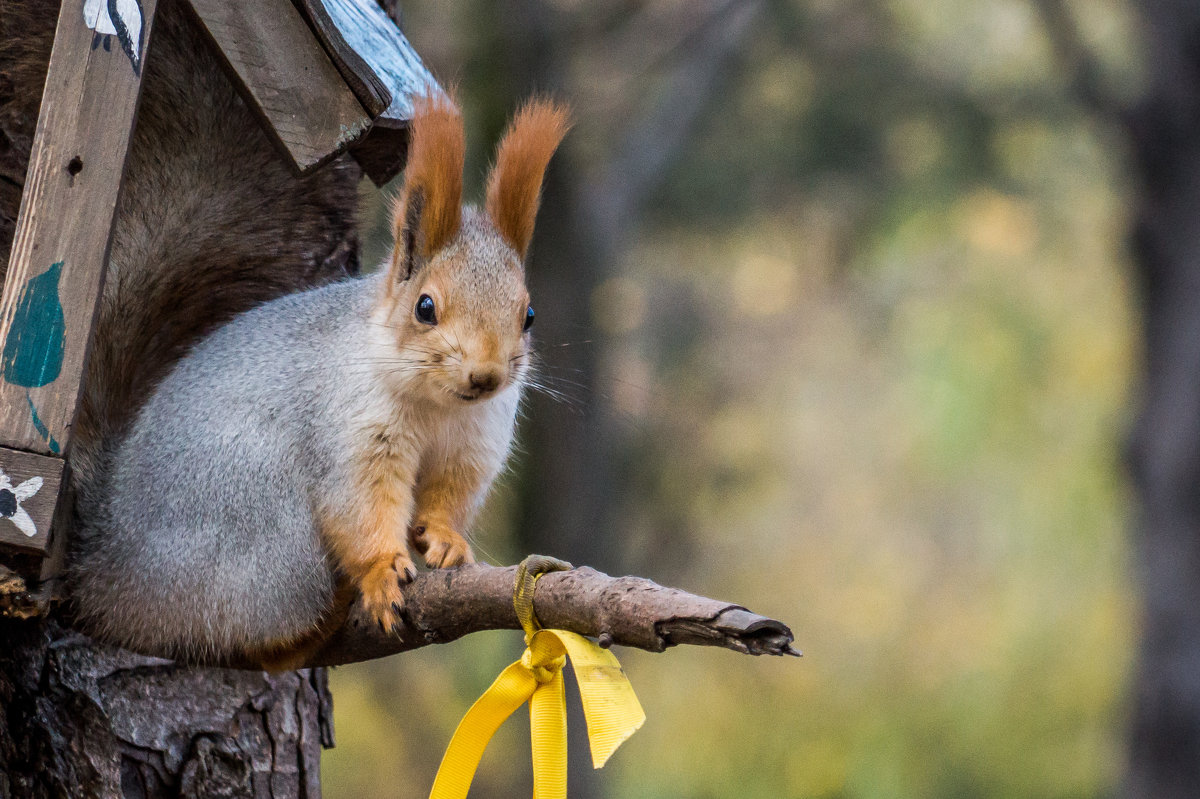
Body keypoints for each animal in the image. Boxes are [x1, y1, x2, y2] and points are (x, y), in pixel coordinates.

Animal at [65, 85, 571, 667]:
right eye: (425, 307)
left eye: (528, 315)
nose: (485, 377)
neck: (437, 405)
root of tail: (104, 565)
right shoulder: (353, 430)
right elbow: (359, 505)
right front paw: (381, 572)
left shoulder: (475, 445)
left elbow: (449, 495)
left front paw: (445, 538)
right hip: (260, 536)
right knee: (254, 640)